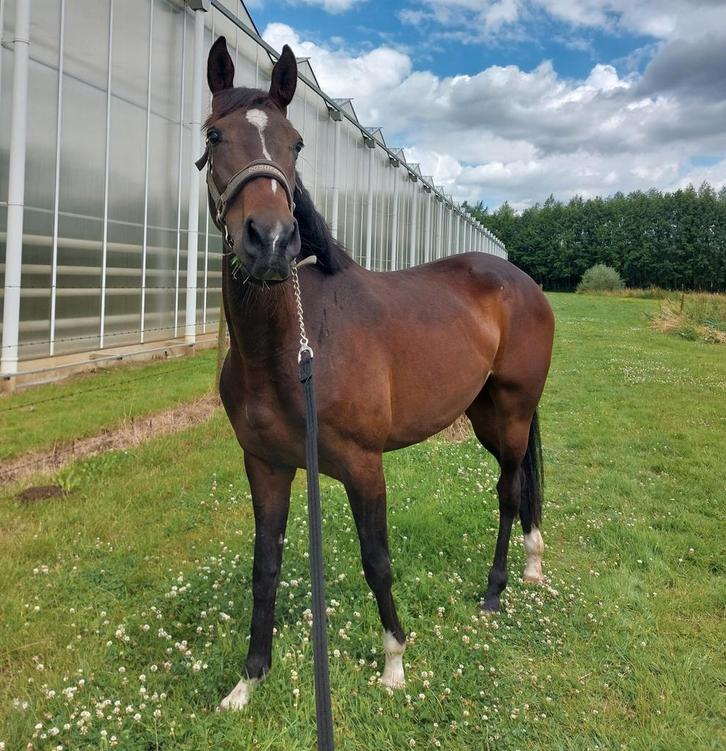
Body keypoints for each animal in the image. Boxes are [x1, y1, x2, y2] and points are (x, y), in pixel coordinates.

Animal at [199, 37, 555, 710]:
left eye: (296, 143)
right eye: (213, 135)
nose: (270, 241)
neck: (290, 350)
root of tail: (520, 281)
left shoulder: (365, 468)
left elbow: (376, 560)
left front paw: (394, 661)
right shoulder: (266, 466)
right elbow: (265, 566)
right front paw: (248, 679)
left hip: (514, 410)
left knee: (508, 489)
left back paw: (498, 588)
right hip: (484, 414)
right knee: (519, 483)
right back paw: (528, 565)